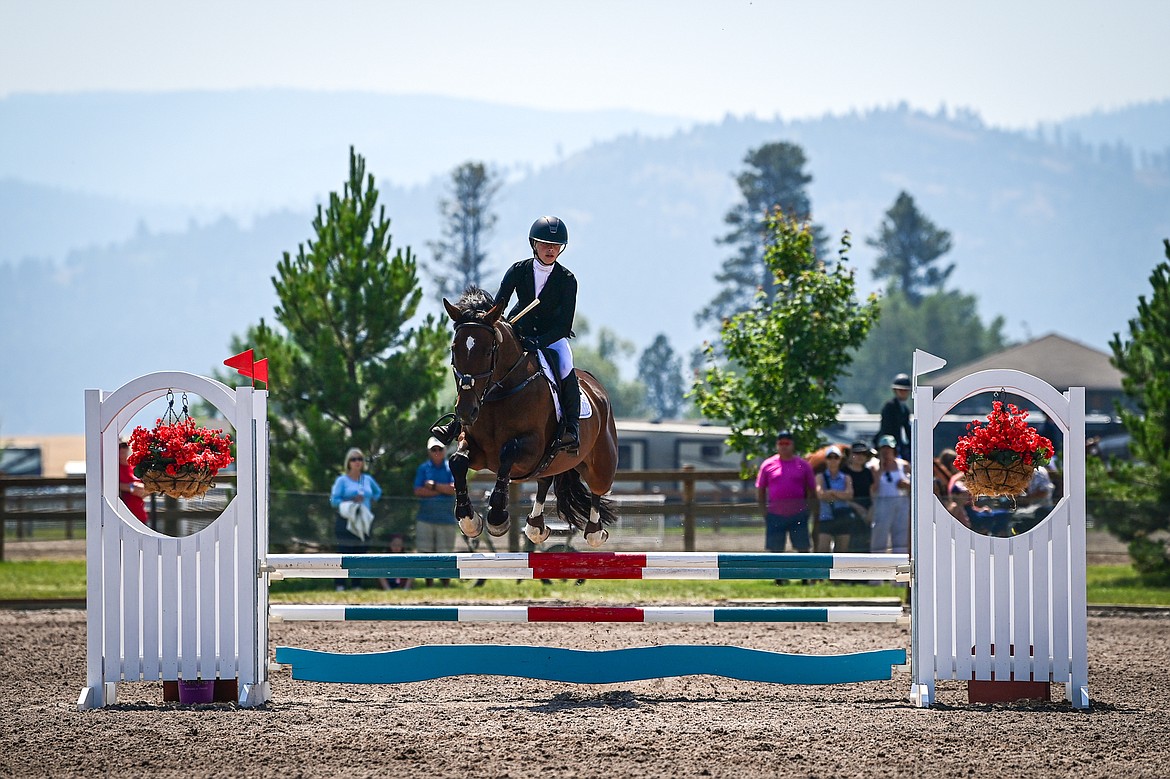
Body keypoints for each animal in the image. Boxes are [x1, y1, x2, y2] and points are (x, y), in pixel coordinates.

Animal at [439, 285, 622, 545]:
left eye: (487, 351)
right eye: (454, 349)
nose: (466, 411)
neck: (500, 391)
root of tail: (596, 386)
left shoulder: (531, 448)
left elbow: (507, 454)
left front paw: (497, 518)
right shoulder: (477, 449)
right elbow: (457, 461)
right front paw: (469, 520)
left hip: (602, 461)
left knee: (598, 489)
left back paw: (595, 532)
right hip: (552, 462)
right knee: (545, 479)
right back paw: (536, 526)